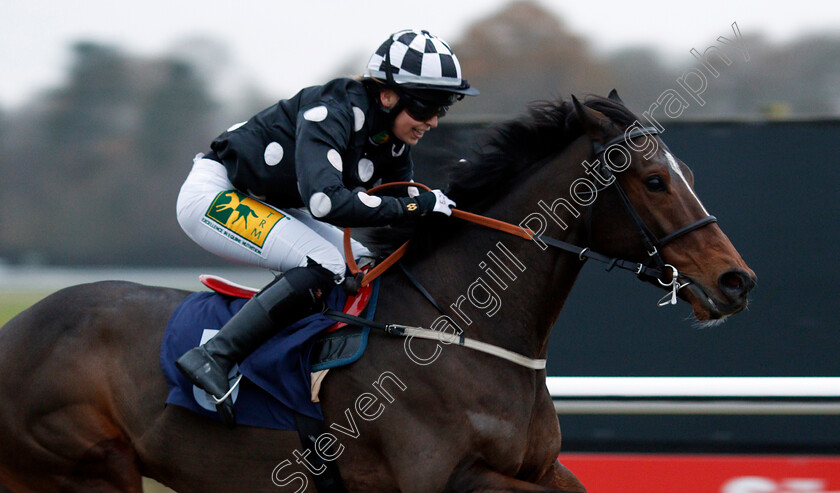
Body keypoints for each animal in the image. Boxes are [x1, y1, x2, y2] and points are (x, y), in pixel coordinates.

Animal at [0, 91, 756, 488]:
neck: (462, 331)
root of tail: (15, 328)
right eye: (653, 181)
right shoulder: (442, 476)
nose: (735, 280)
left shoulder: (541, 468)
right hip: (85, 466)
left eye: (687, 171)